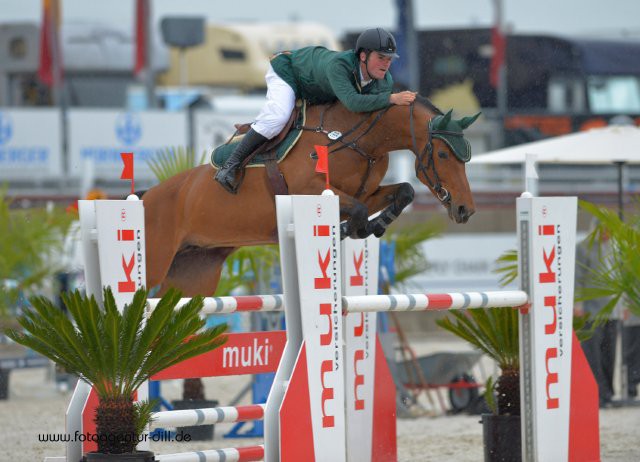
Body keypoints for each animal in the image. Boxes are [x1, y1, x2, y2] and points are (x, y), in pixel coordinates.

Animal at [142, 99, 478, 298]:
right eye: (444, 154)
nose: (466, 209)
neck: (356, 140)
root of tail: (145, 196)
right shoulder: (311, 190)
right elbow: (357, 211)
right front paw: (349, 230)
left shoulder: (364, 194)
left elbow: (402, 191)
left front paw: (376, 225)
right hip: (156, 265)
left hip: (193, 275)